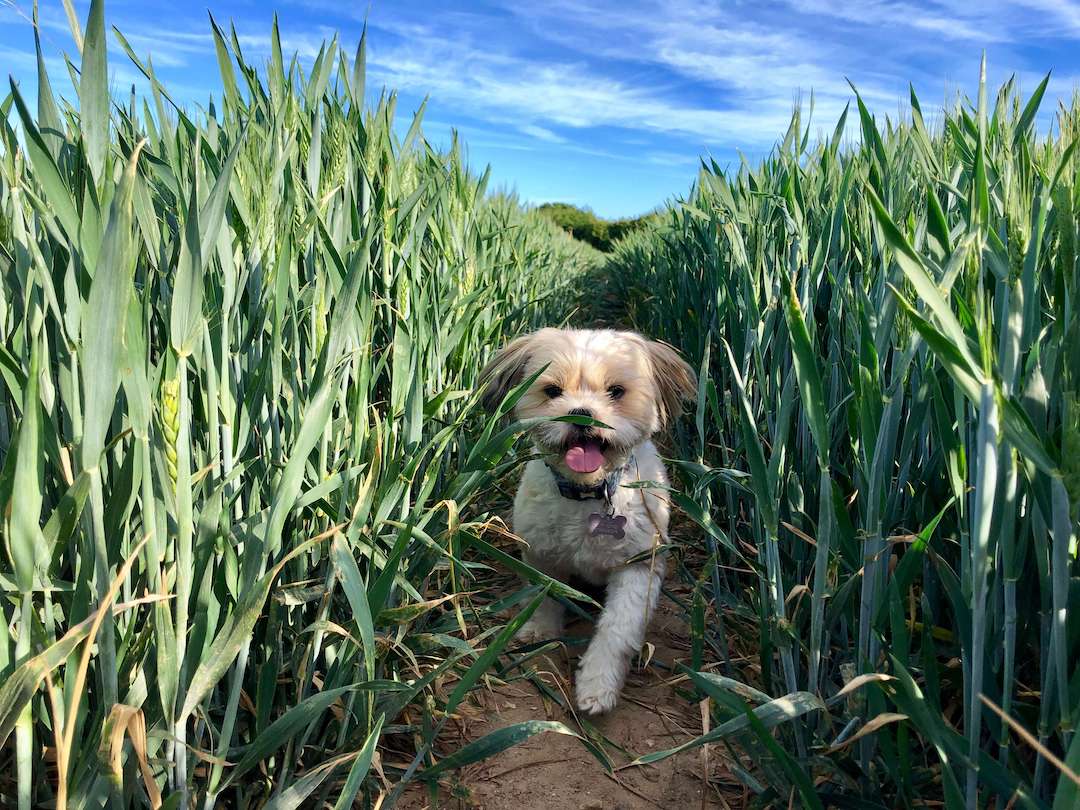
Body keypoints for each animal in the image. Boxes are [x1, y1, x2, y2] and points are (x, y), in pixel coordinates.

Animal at [479, 326, 695, 712]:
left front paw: (598, 684)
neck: (589, 492)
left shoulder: (639, 565)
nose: (581, 414)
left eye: (616, 391)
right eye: (552, 391)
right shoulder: (541, 553)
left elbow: (618, 627)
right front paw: (539, 631)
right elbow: (544, 596)